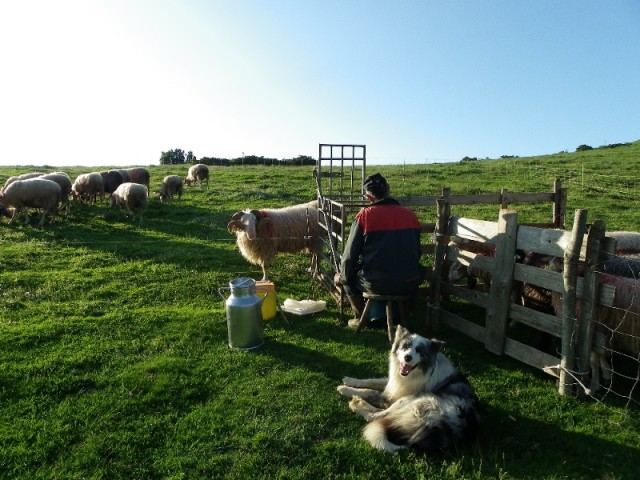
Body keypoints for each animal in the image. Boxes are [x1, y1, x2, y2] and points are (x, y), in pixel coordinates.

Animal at [338, 324, 478, 452]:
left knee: (375, 416)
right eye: (405, 346)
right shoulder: (394, 384)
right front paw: (348, 382)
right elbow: (372, 381)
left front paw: (346, 390)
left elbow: (371, 391)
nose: (407, 357)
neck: (416, 373)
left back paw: (356, 404)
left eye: (420, 350)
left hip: (414, 400)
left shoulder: (396, 396)